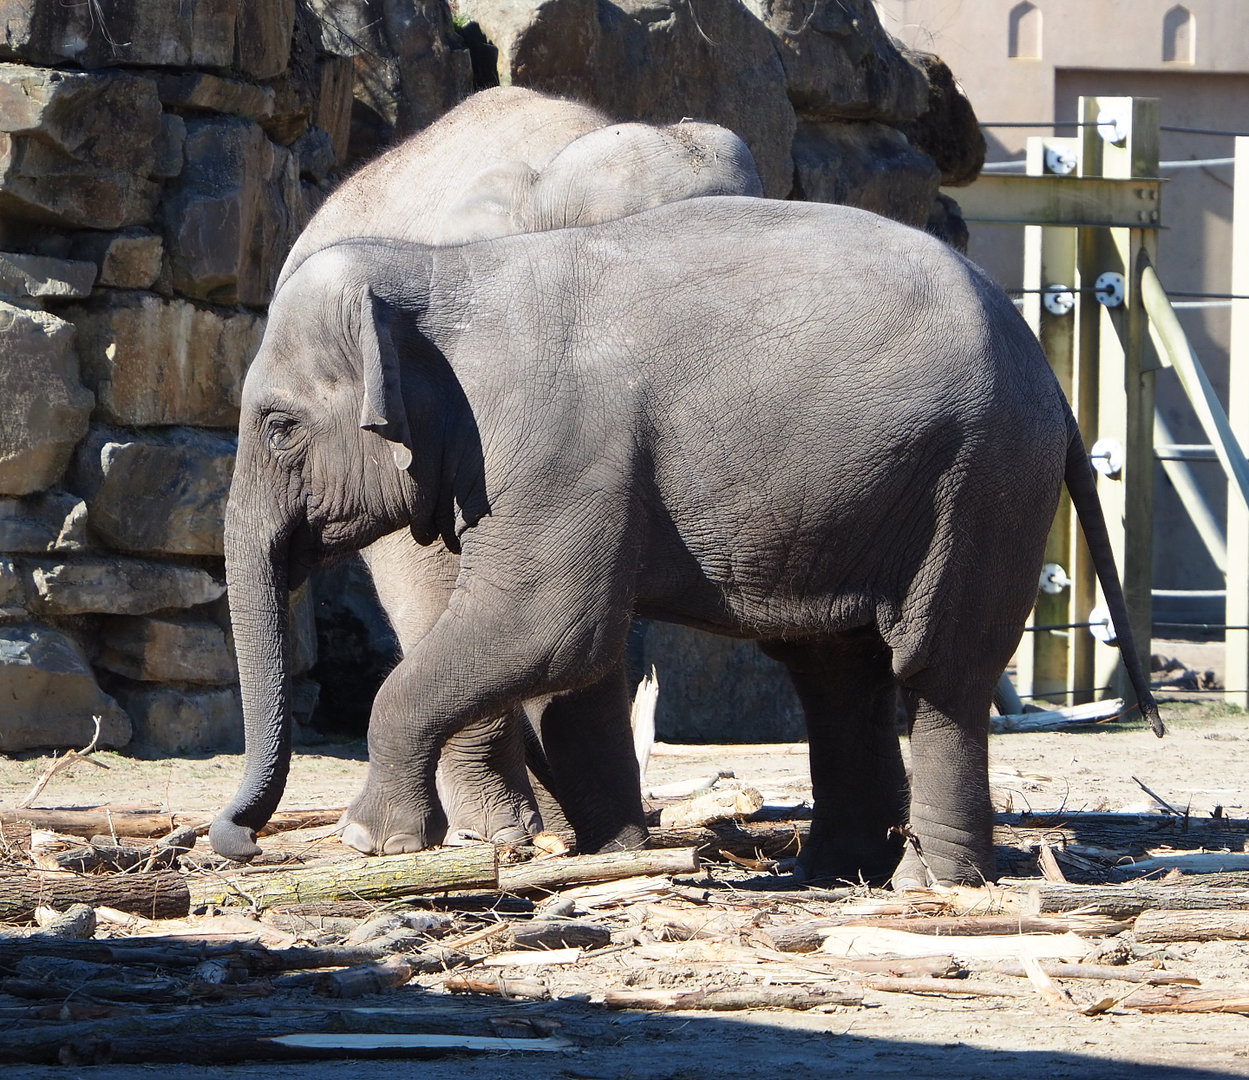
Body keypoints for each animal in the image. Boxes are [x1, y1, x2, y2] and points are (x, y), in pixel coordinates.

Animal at [210, 194, 1162, 888]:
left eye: (280, 426)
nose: (235, 840)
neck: (442, 271)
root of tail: (1048, 378)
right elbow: (574, 661)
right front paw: (613, 853)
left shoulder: (558, 450)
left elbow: (549, 628)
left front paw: (371, 844)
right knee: (835, 672)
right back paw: (829, 873)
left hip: (979, 482)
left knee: (937, 674)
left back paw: (927, 885)